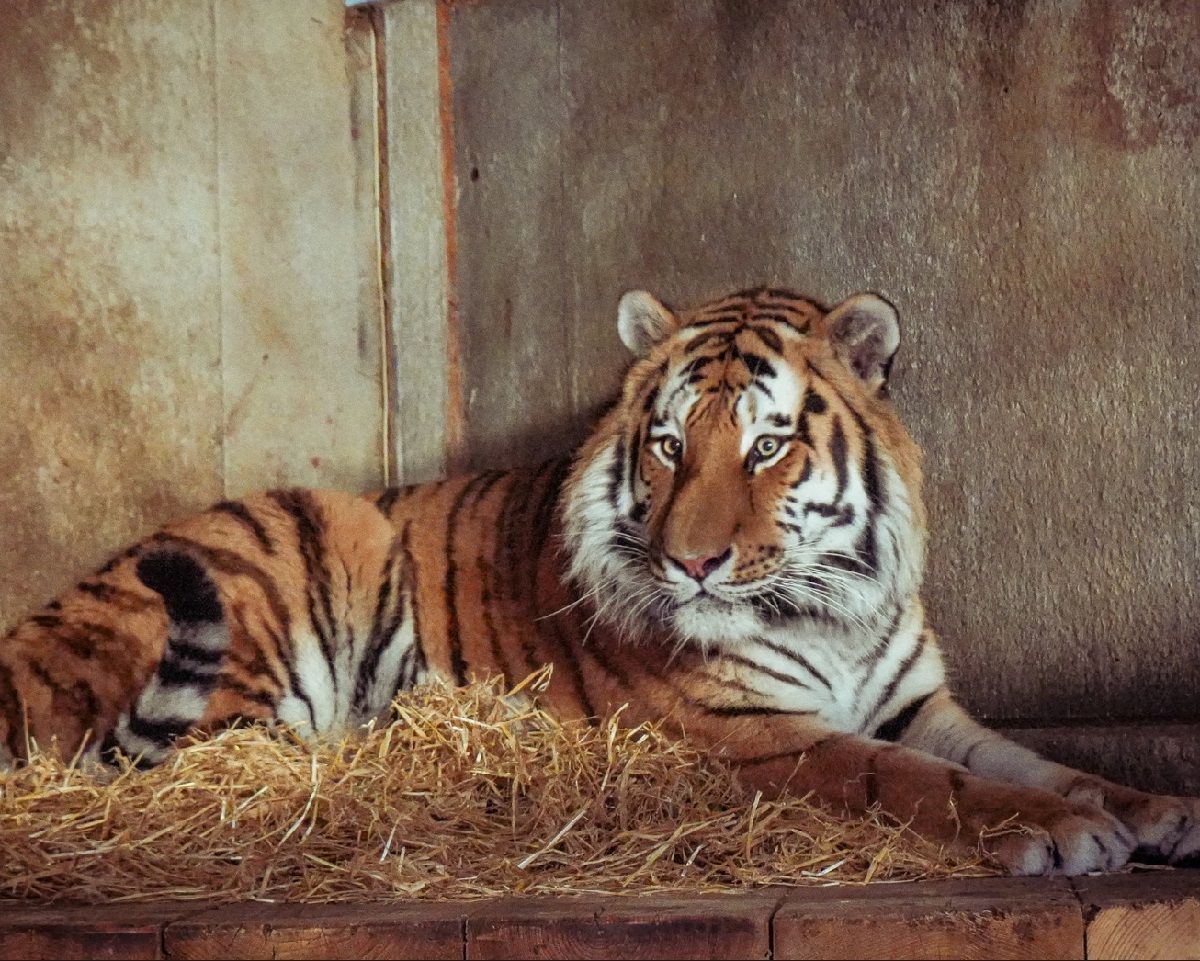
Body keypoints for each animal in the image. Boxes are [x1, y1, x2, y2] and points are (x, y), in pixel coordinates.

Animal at [2, 285, 1198, 877]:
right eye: (669, 445)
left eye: (767, 448)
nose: (693, 562)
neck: (834, 609)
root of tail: (23, 645)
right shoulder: (757, 735)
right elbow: (915, 782)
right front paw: (1062, 834)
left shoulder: (920, 705)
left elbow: (1043, 762)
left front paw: (1156, 812)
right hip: (280, 584)